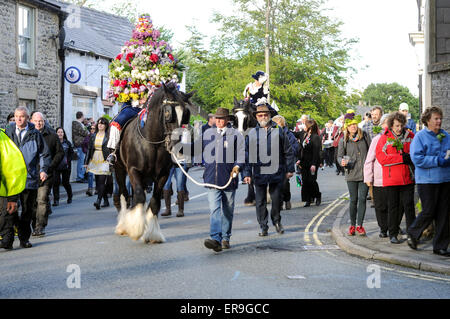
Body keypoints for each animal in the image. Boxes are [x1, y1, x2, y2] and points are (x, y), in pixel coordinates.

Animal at [114, 82, 192, 242]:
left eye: (186, 114)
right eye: (168, 113)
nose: (178, 148)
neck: (151, 142)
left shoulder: (162, 175)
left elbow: (155, 202)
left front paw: (152, 233)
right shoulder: (133, 170)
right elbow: (138, 196)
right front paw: (136, 229)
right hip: (119, 169)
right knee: (124, 195)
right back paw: (123, 225)